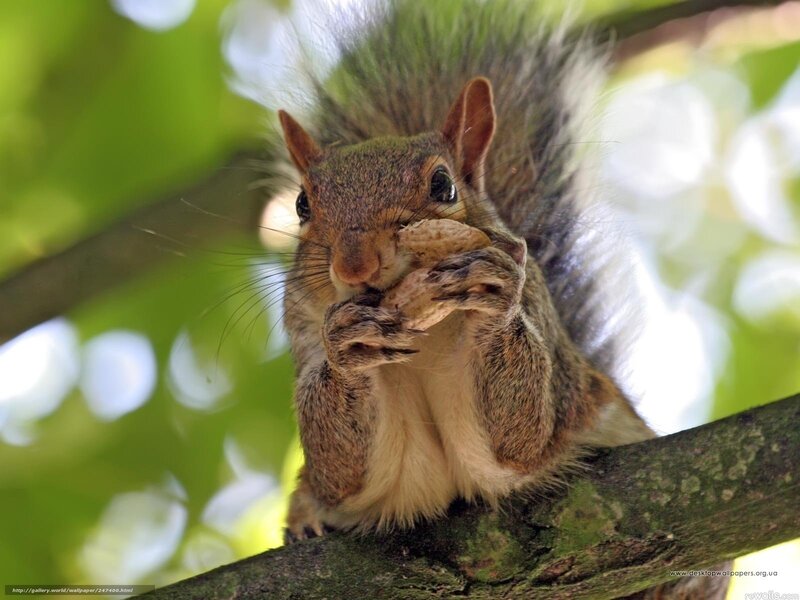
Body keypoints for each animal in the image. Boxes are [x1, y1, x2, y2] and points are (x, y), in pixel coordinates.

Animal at [269, 1, 729, 597]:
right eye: (302, 205)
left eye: (443, 186)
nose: (354, 266)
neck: (430, 335)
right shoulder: (305, 333)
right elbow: (338, 474)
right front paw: (347, 351)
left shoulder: (540, 328)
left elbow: (522, 438)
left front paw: (492, 295)